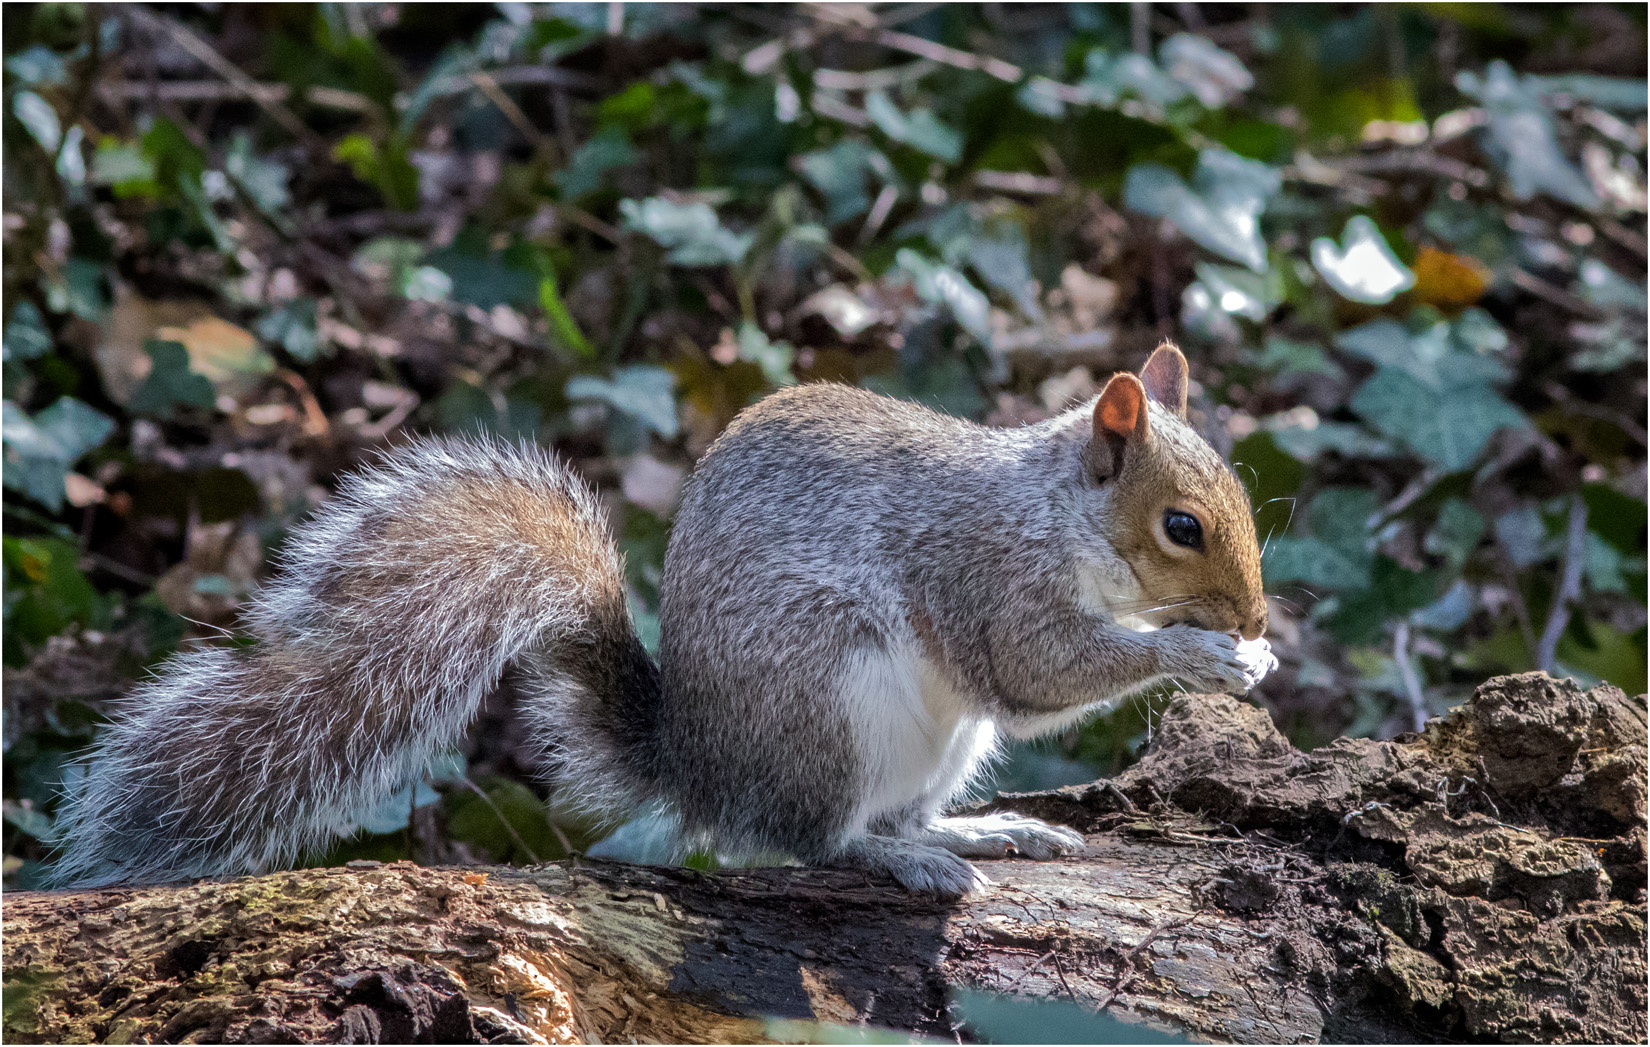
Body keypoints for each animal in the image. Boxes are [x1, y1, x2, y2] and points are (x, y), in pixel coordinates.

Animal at [49, 343, 1275, 898]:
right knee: (807, 838)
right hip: (835, 704)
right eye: (1180, 526)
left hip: (937, 743)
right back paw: (899, 859)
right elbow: (1036, 669)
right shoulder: (986, 573)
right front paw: (1204, 652)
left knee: (885, 814)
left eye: (1243, 497)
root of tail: (702, 762)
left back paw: (971, 832)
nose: (1258, 612)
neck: (1055, 510)